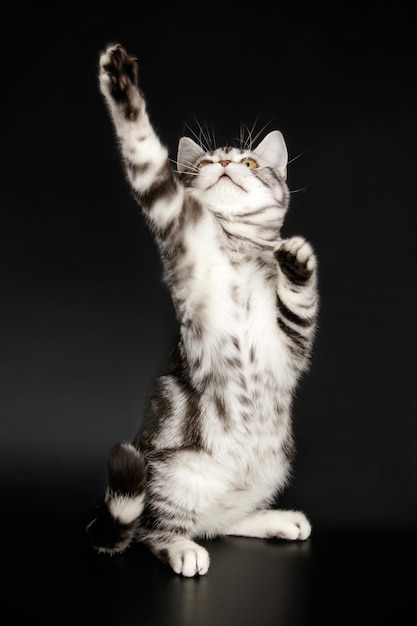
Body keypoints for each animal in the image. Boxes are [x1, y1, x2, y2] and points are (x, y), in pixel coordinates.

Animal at [86, 44, 316, 576]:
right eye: (208, 161)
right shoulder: (175, 225)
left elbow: (301, 301)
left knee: (223, 519)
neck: (238, 248)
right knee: (154, 530)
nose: (228, 163)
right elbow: (144, 151)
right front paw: (120, 82)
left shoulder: (292, 339)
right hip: (176, 473)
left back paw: (274, 519)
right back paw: (182, 548)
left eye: (250, 161)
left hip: (270, 466)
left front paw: (295, 260)